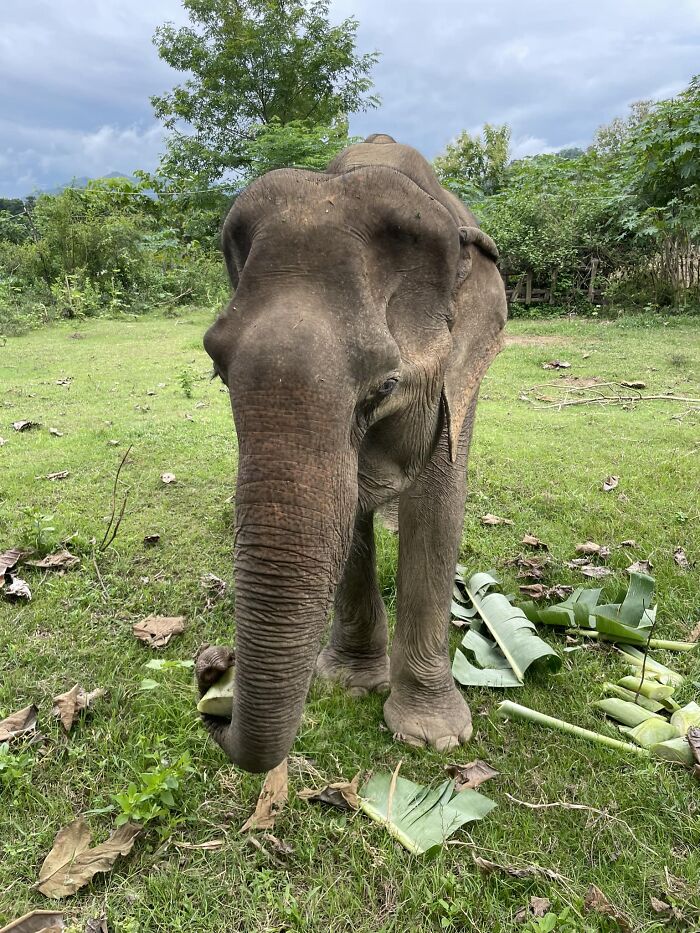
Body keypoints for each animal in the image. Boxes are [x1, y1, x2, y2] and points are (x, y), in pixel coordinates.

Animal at [198, 133, 507, 773]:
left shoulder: (452, 376)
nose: (212, 669)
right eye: (217, 366)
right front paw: (348, 686)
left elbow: (437, 505)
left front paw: (432, 737)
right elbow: (351, 506)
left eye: (385, 385)